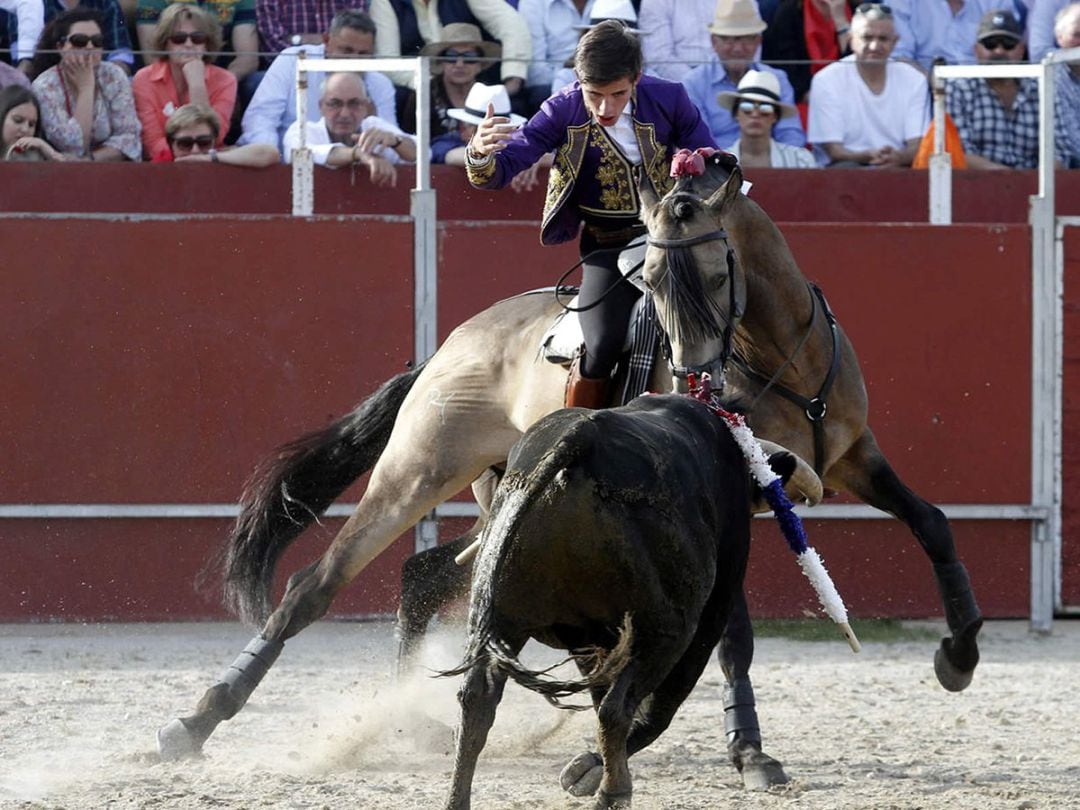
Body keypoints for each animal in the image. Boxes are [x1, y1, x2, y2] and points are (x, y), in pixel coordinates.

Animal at [156, 152, 984, 794]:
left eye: (720, 275)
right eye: (652, 280)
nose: (698, 381)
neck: (782, 359)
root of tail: (456, 340)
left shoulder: (856, 455)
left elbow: (933, 523)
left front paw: (959, 655)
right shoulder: (741, 502)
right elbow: (733, 639)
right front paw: (748, 749)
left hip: (499, 500)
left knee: (427, 572)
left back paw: (401, 713)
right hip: (420, 467)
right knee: (315, 583)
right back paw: (197, 720)